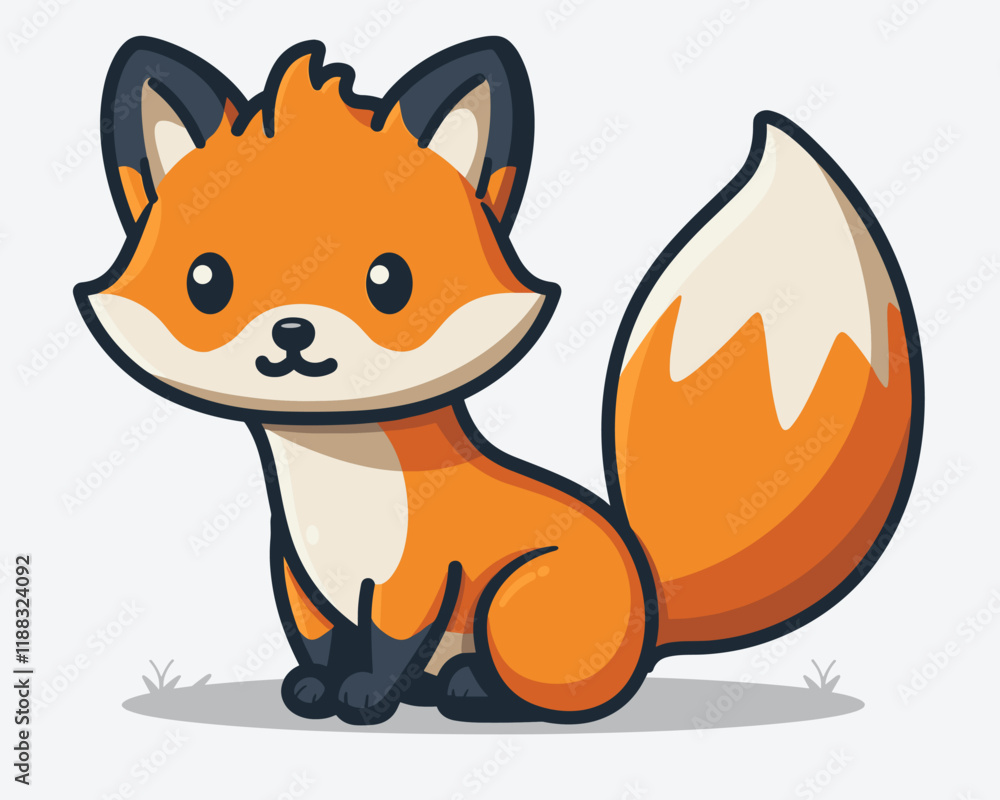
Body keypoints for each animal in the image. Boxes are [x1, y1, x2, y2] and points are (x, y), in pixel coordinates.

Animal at [76, 35, 923, 725]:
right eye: (207, 282)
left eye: (389, 282)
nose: (292, 332)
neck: (339, 482)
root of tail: (652, 608)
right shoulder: (300, 577)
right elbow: (321, 643)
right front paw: (317, 690)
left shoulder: (418, 579)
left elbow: (387, 644)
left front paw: (364, 701)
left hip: (515, 602)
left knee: (552, 692)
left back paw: (473, 692)